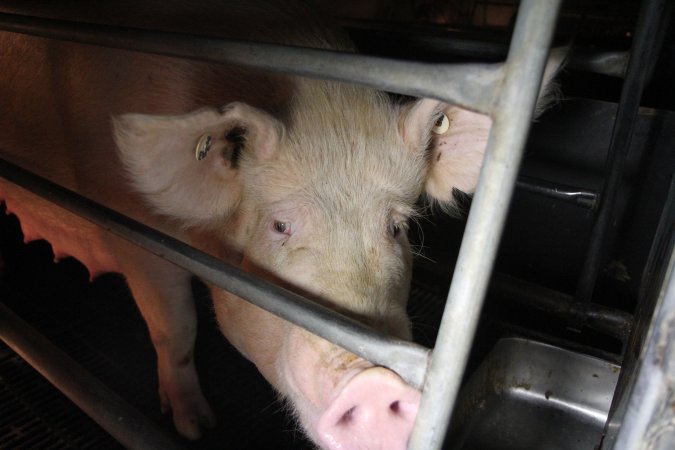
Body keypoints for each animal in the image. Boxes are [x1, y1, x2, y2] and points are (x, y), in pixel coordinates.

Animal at [0, 1, 564, 448]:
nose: (376, 382)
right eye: (279, 227)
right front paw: (196, 428)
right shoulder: (136, 237)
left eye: (398, 227)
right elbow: (174, 329)